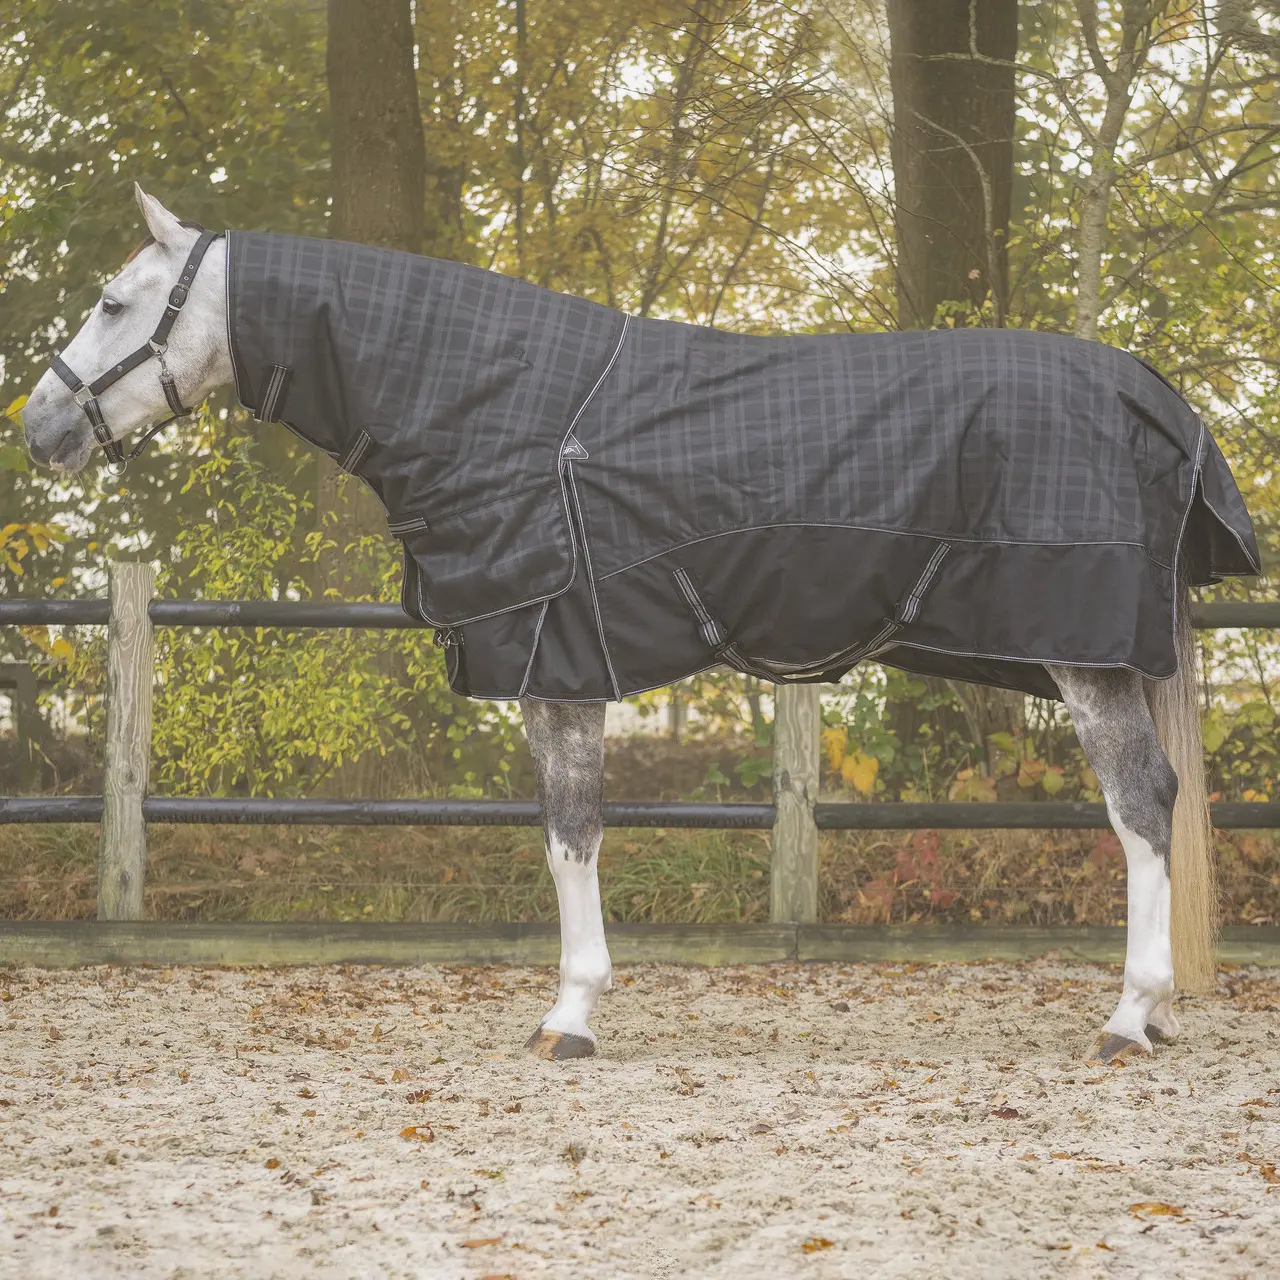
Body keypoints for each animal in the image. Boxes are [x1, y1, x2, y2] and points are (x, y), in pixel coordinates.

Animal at [20, 187, 1260, 1064]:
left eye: (116, 303)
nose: (37, 426)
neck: (491, 402)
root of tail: (1151, 392)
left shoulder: (555, 662)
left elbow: (569, 831)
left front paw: (569, 1011)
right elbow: (570, 831)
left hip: (1086, 655)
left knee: (1138, 803)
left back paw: (1128, 1016)